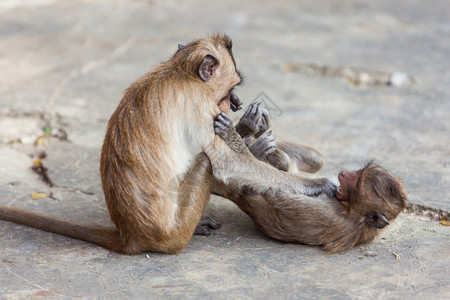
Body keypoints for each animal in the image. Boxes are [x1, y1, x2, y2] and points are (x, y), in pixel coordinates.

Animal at [207, 105, 408, 251]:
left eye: (357, 183)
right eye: (359, 172)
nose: (344, 173)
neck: (352, 210)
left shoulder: (327, 214)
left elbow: (269, 190)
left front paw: (235, 133)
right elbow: (313, 162)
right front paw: (260, 132)